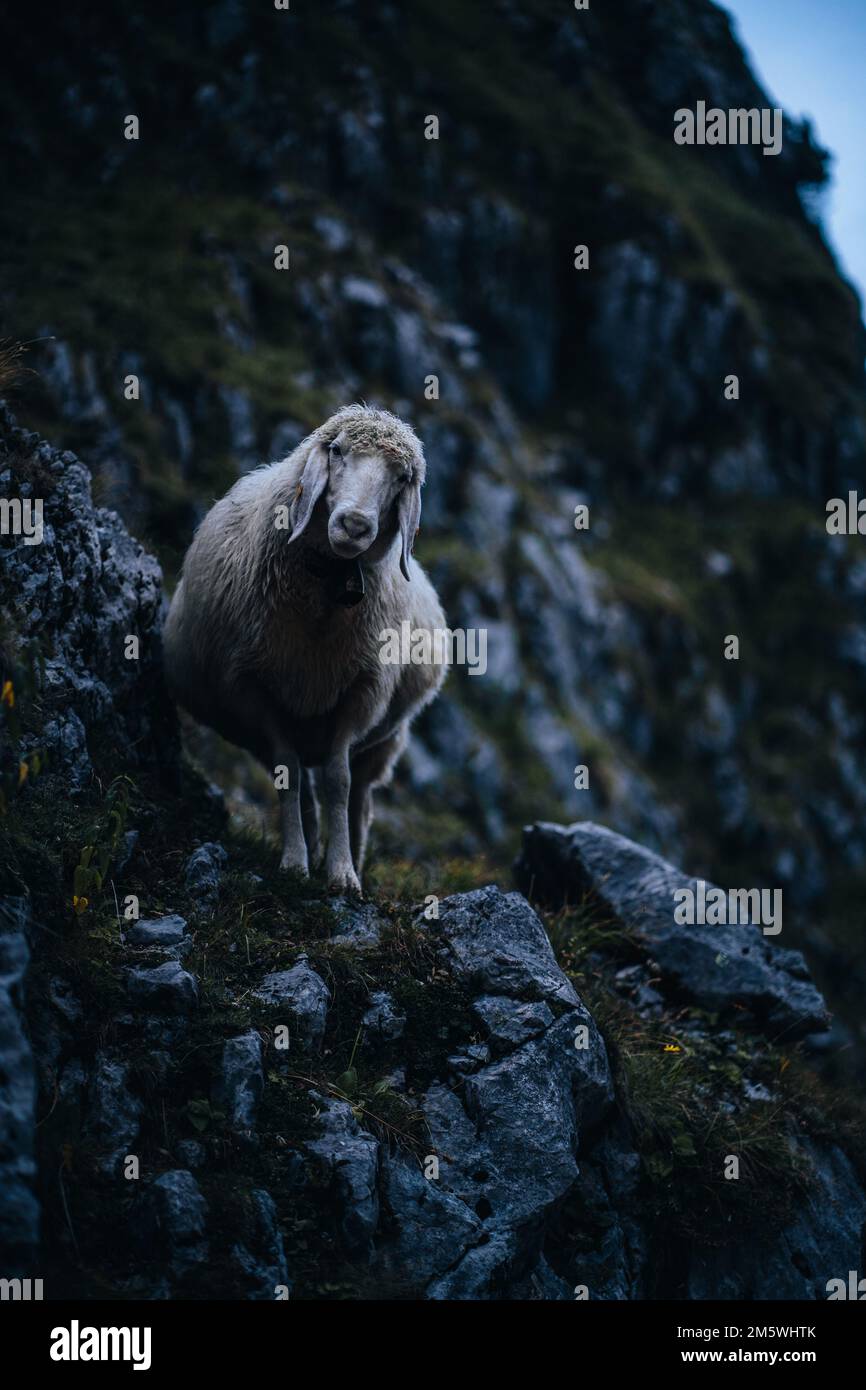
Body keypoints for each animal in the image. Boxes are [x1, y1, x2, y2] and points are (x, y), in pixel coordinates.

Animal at [163, 404, 447, 892]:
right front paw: (295, 864)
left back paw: (354, 856)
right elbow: (289, 777)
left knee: (361, 798)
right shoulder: (254, 690)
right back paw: (311, 847)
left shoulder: (361, 694)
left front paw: (342, 873)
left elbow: (339, 780)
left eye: (401, 477)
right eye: (336, 451)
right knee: (302, 784)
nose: (354, 525)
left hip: (385, 740)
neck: (325, 592)